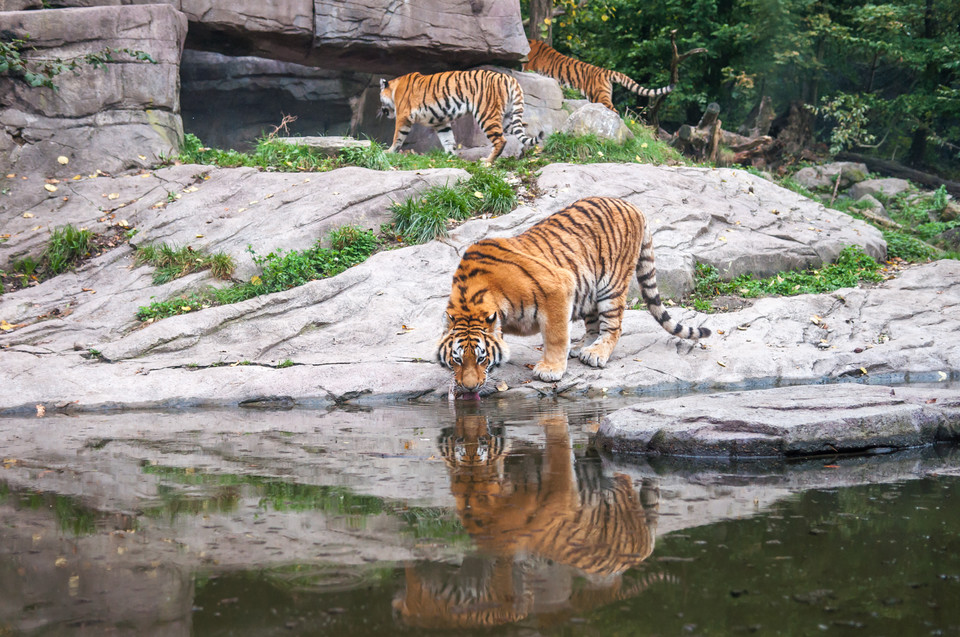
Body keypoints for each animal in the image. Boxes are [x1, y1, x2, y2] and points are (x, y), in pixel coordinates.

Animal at [378, 69, 540, 164]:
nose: (381, 110)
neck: (395, 88)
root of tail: (509, 78)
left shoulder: (403, 116)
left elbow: (398, 136)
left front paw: (389, 151)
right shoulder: (441, 123)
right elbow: (448, 139)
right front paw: (449, 157)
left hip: (486, 114)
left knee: (501, 140)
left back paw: (487, 161)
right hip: (508, 117)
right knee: (523, 131)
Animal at [438, 195, 708, 392]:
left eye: (481, 358)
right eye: (457, 359)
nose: (469, 388)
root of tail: (632, 205)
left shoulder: (557, 288)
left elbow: (555, 336)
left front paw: (550, 369)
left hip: (610, 285)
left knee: (613, 326)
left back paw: (596, 353)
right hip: (588, 286)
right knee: (593, 324)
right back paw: (582, 347)